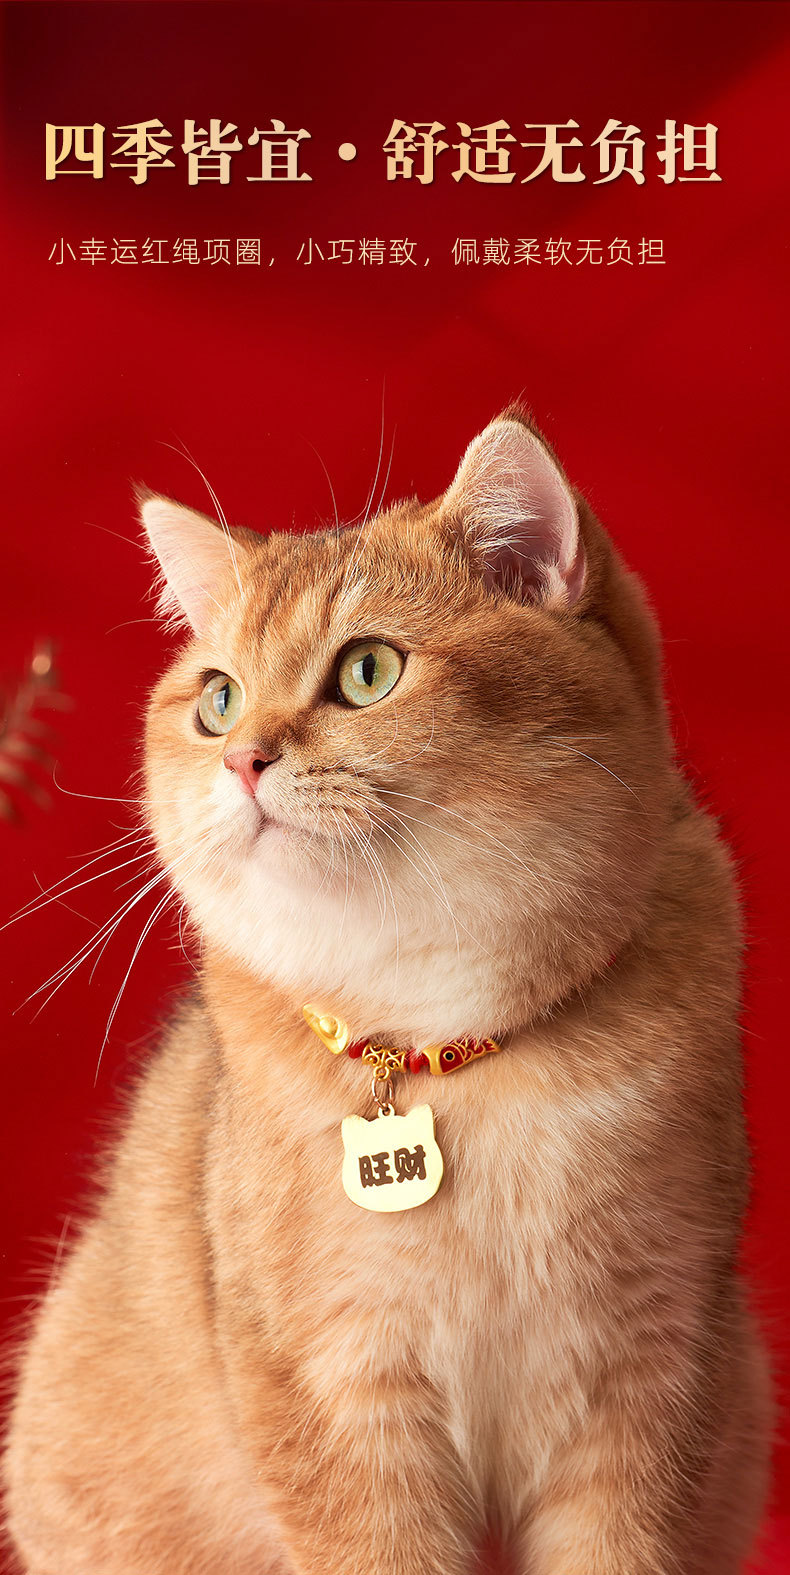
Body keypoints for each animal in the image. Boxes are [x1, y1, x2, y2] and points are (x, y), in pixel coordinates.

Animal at [3, 410, 771, 1574]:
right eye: (218, 698)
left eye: (367, 671)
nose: (242, 758)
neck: (448, 1050)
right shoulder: (335, 1402)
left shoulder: (648, 1382)